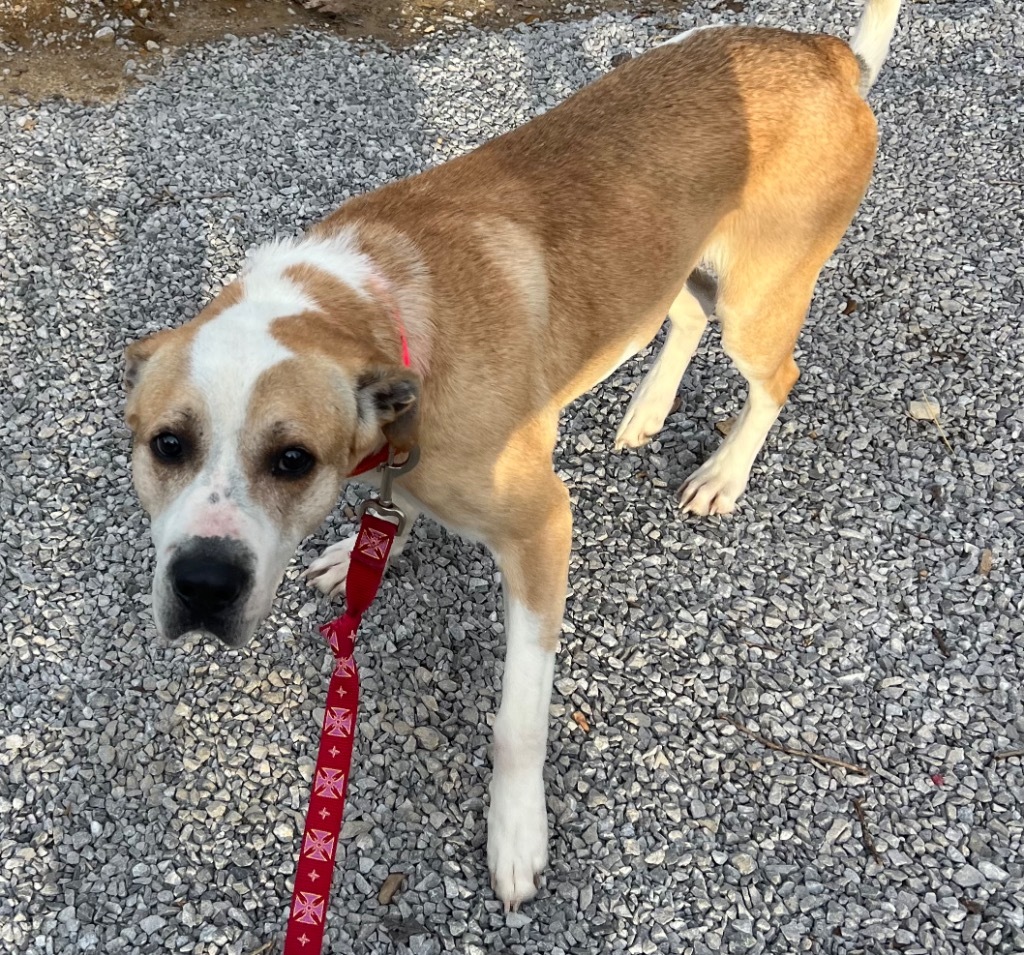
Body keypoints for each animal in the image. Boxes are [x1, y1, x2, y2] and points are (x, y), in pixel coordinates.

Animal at [123, 0, 901, 908]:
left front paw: (517, 833)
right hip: (679, 263)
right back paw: (647, 408)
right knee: (684, 315)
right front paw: (361, 548)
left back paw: (723, 474)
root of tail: (824, 53)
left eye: (292, 460)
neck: (386, 312)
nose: (203, 585)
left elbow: (519, 720)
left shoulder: (541, 528)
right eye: (167, 444)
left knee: (776, 376)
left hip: (760, 297)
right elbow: (392, 510)